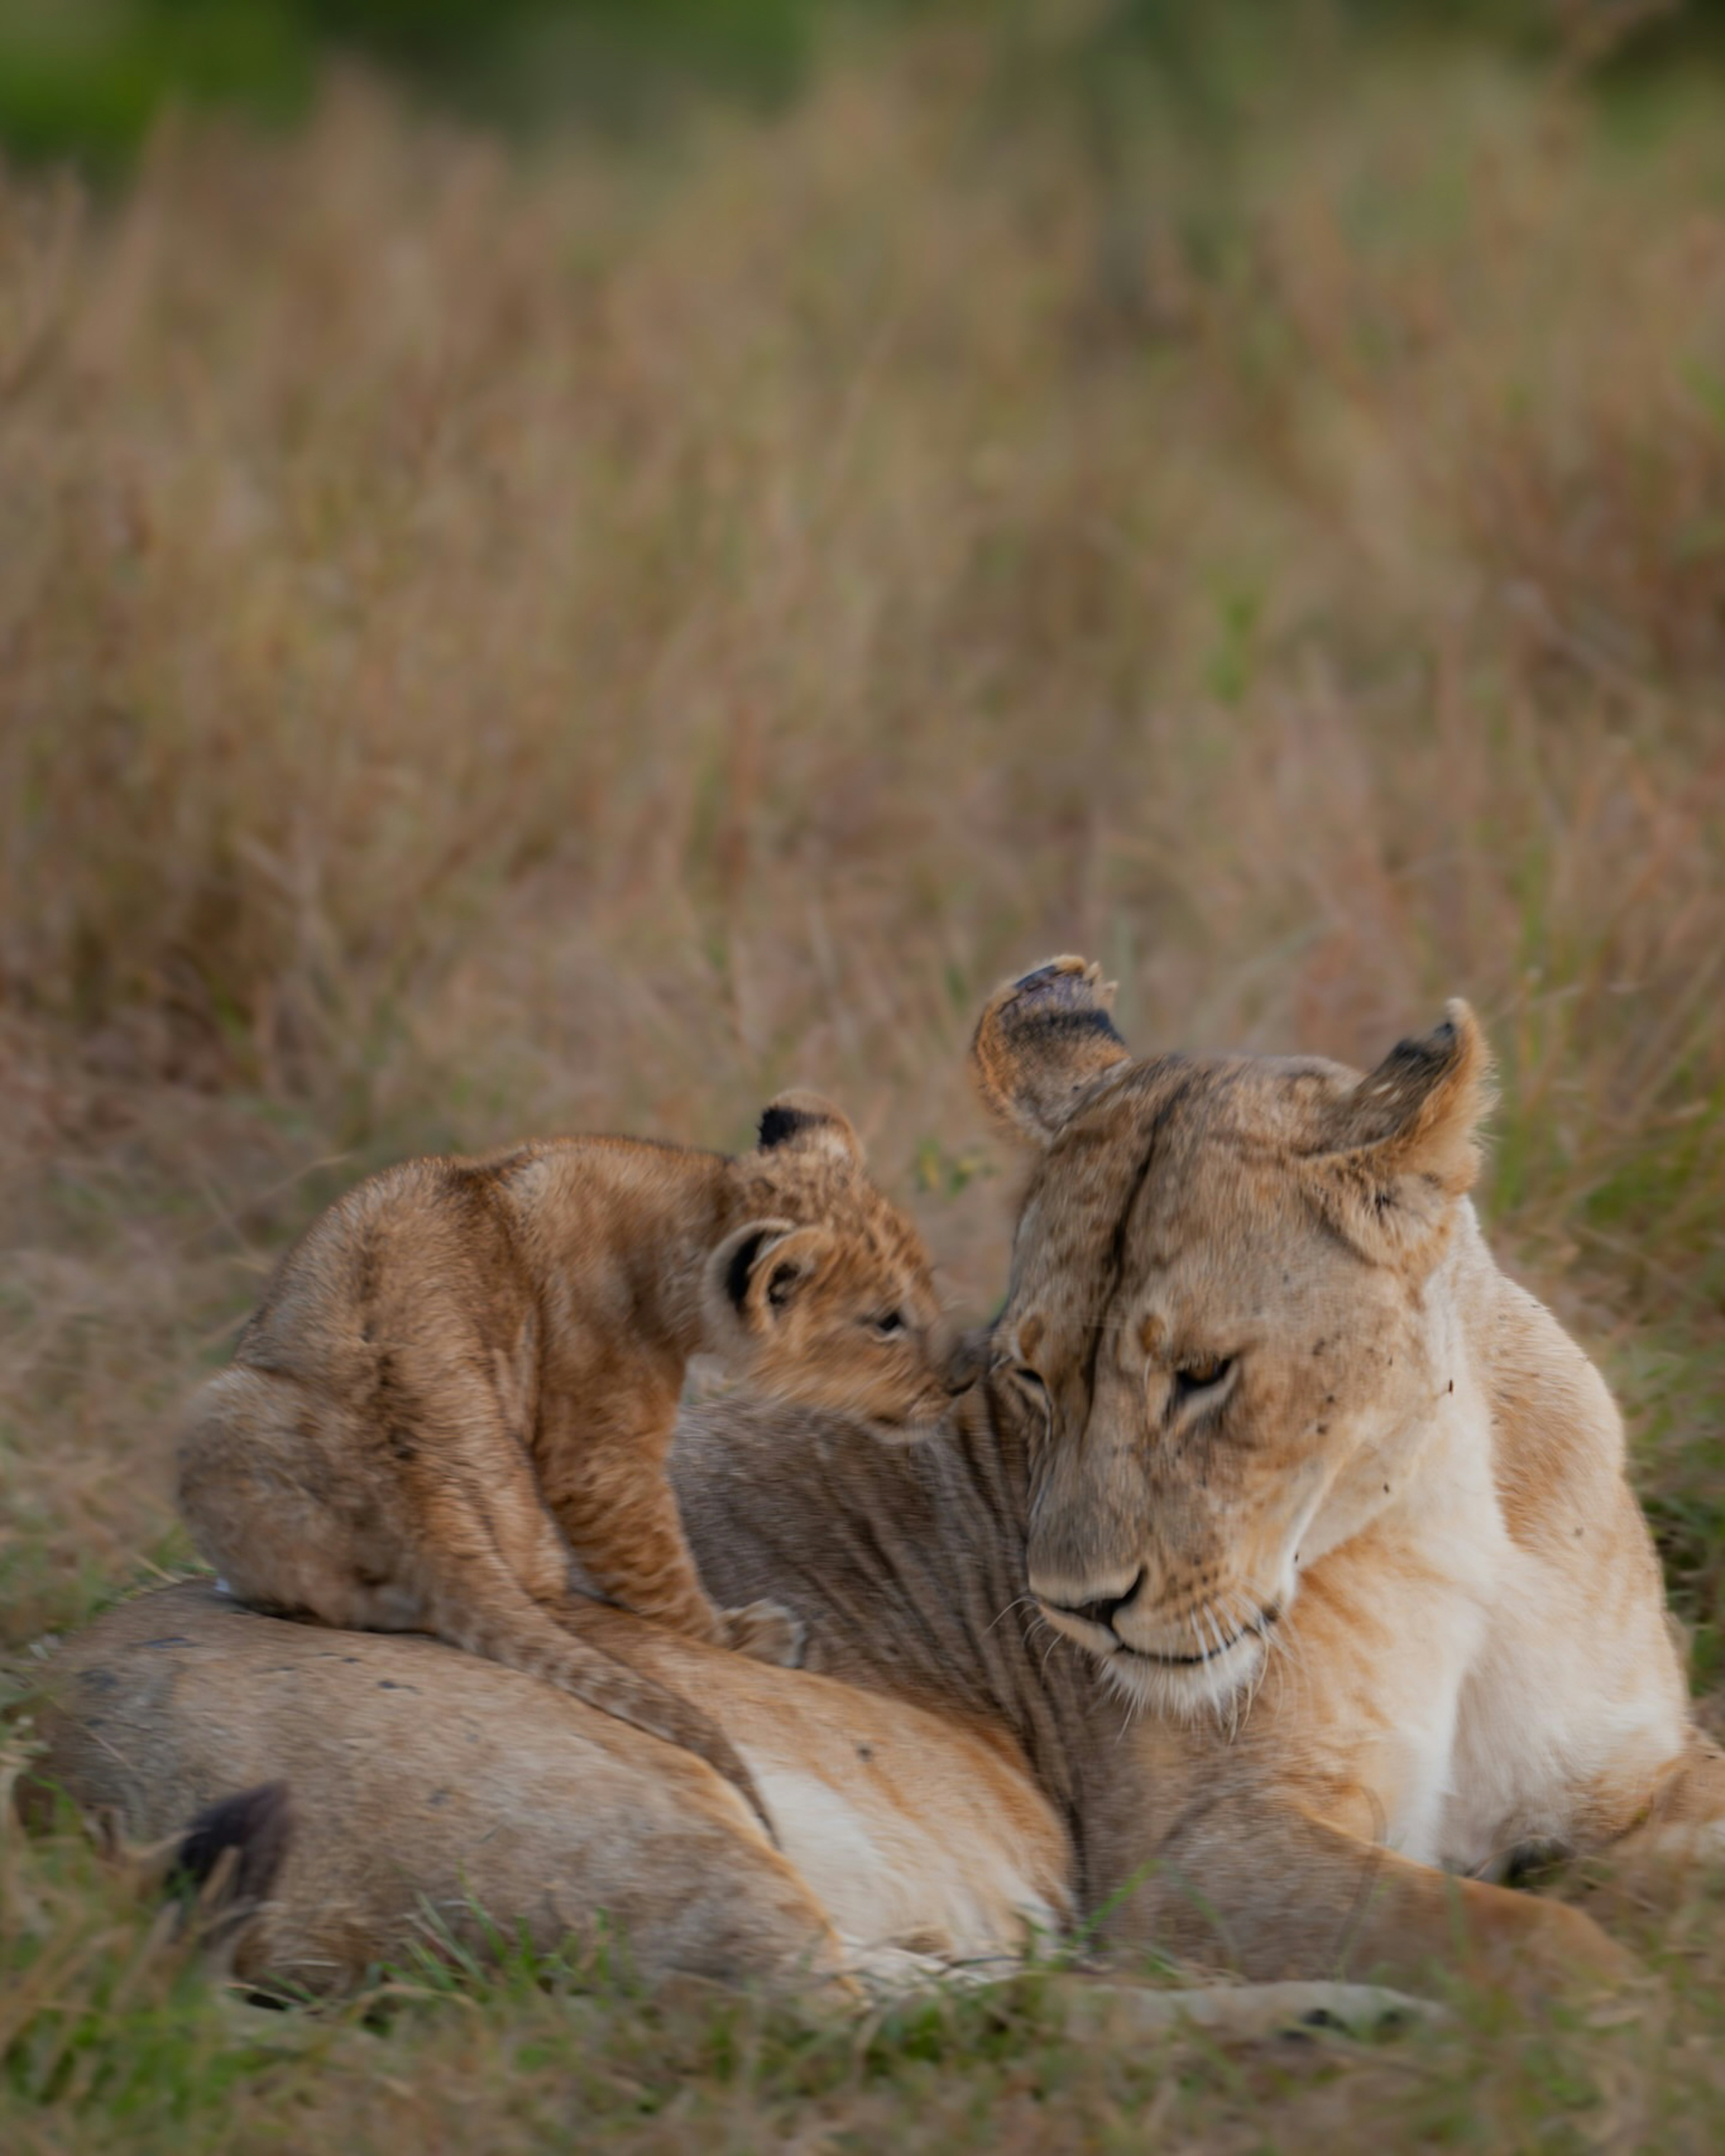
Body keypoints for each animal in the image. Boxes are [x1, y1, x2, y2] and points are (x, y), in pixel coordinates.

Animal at [175, 1091, 975, 1833]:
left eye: (927, 1289)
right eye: (885, 1322)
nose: (963, 1378)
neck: (686, 1210)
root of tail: (414, 1486)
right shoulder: (597, 1451)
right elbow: (657, 1573)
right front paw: (739, 1636)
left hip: (212, 1409)